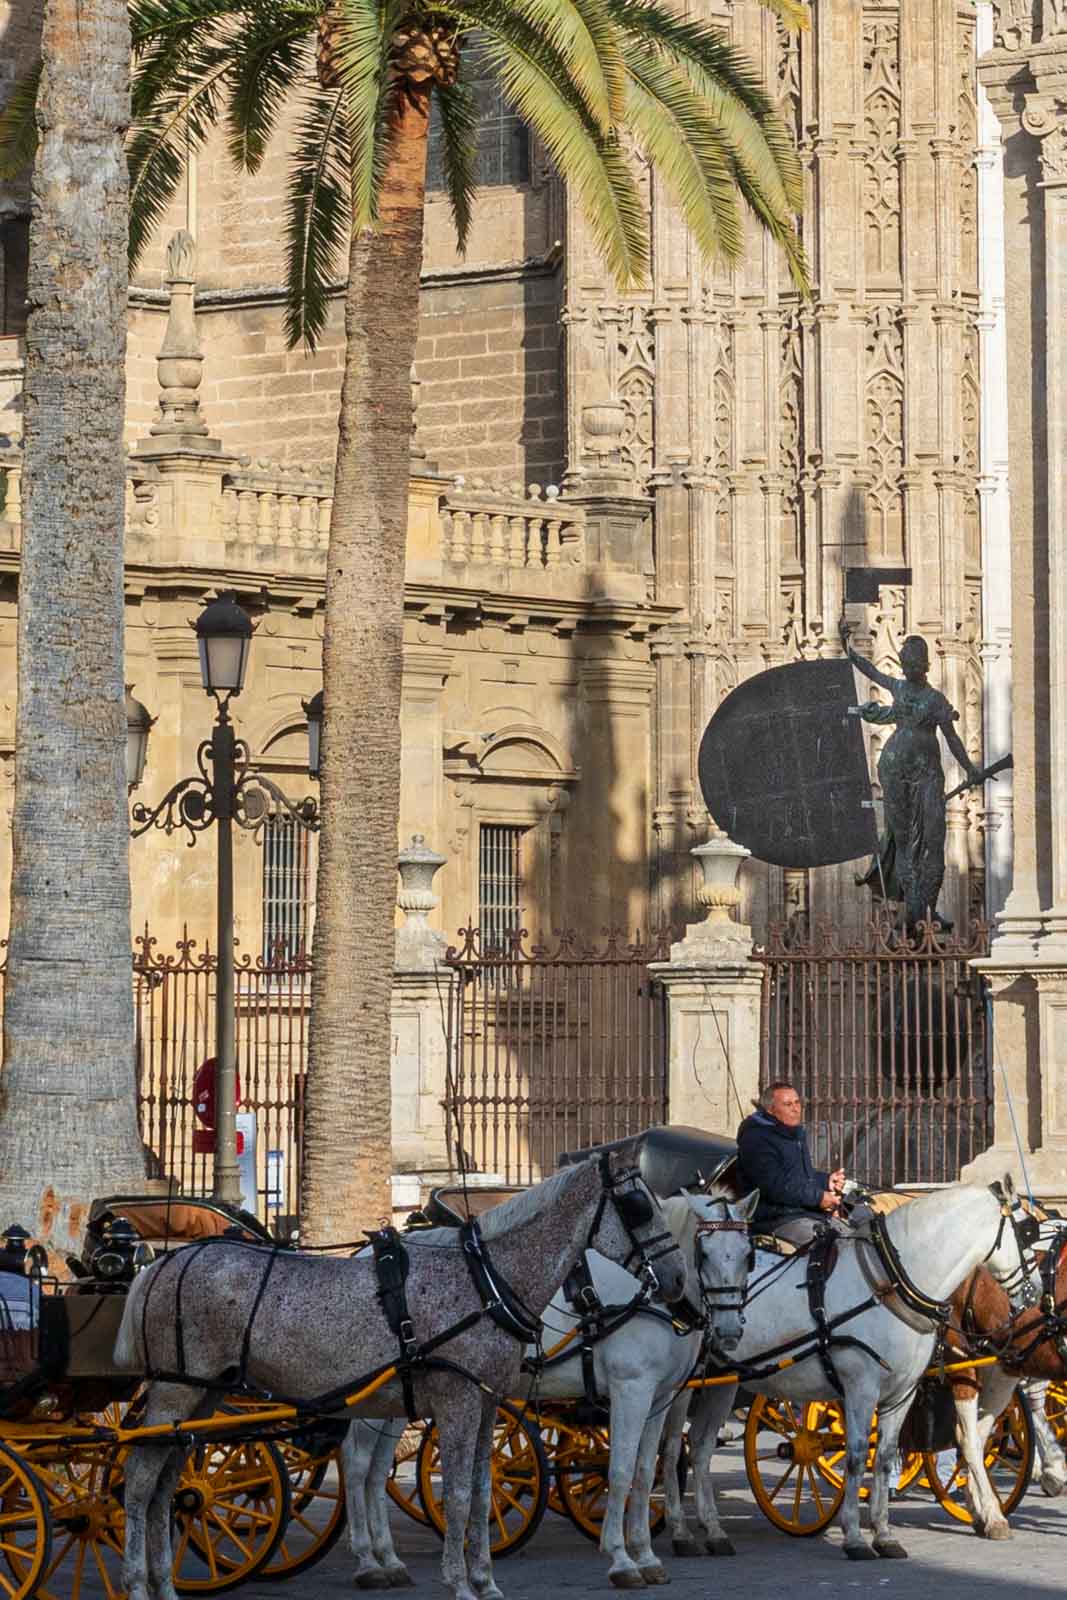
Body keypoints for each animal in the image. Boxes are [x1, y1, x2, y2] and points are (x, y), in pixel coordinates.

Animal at [115, 1145, 684, 1600]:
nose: (677, 1278)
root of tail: (159, 1265)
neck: (485, 1282)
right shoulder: (457, 1401)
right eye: (639, 1206)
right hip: (173, 1392)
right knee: (141, 1481)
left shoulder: (486, 1402)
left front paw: (485, 1581)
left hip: (202, 1399)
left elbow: (482, 1492)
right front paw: (460, 1582)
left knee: (168, 1481)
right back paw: (139, 1584)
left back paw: (165, 1584)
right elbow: (457, 1495)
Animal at [342, 1190, 758, 1587]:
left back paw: (388, 1558)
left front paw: (645, 1554)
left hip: (397, 1394)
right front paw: (621, 1558)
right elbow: (621, 1471)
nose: (730, 1331)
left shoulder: (659, 1397)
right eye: (705, 1253)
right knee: (357, 1464)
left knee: (377, 1470)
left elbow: (643, 1472)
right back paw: (366, 1561)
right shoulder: (631, 1388)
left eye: (748, 1255)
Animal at [659, 1184, 1036, 1555]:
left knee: (701, 1447)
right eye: (1026, 1231)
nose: (1033, 1294)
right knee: (672, 1447)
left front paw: (884, 1535)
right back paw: (679, 1530)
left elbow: (883, 1457)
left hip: (723, 1381)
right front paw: (854, 1535)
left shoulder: (902, 1393)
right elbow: (855, 1455)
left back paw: (713, 1530)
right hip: (684, 1384)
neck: (888, 1284)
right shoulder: (861, 1388)